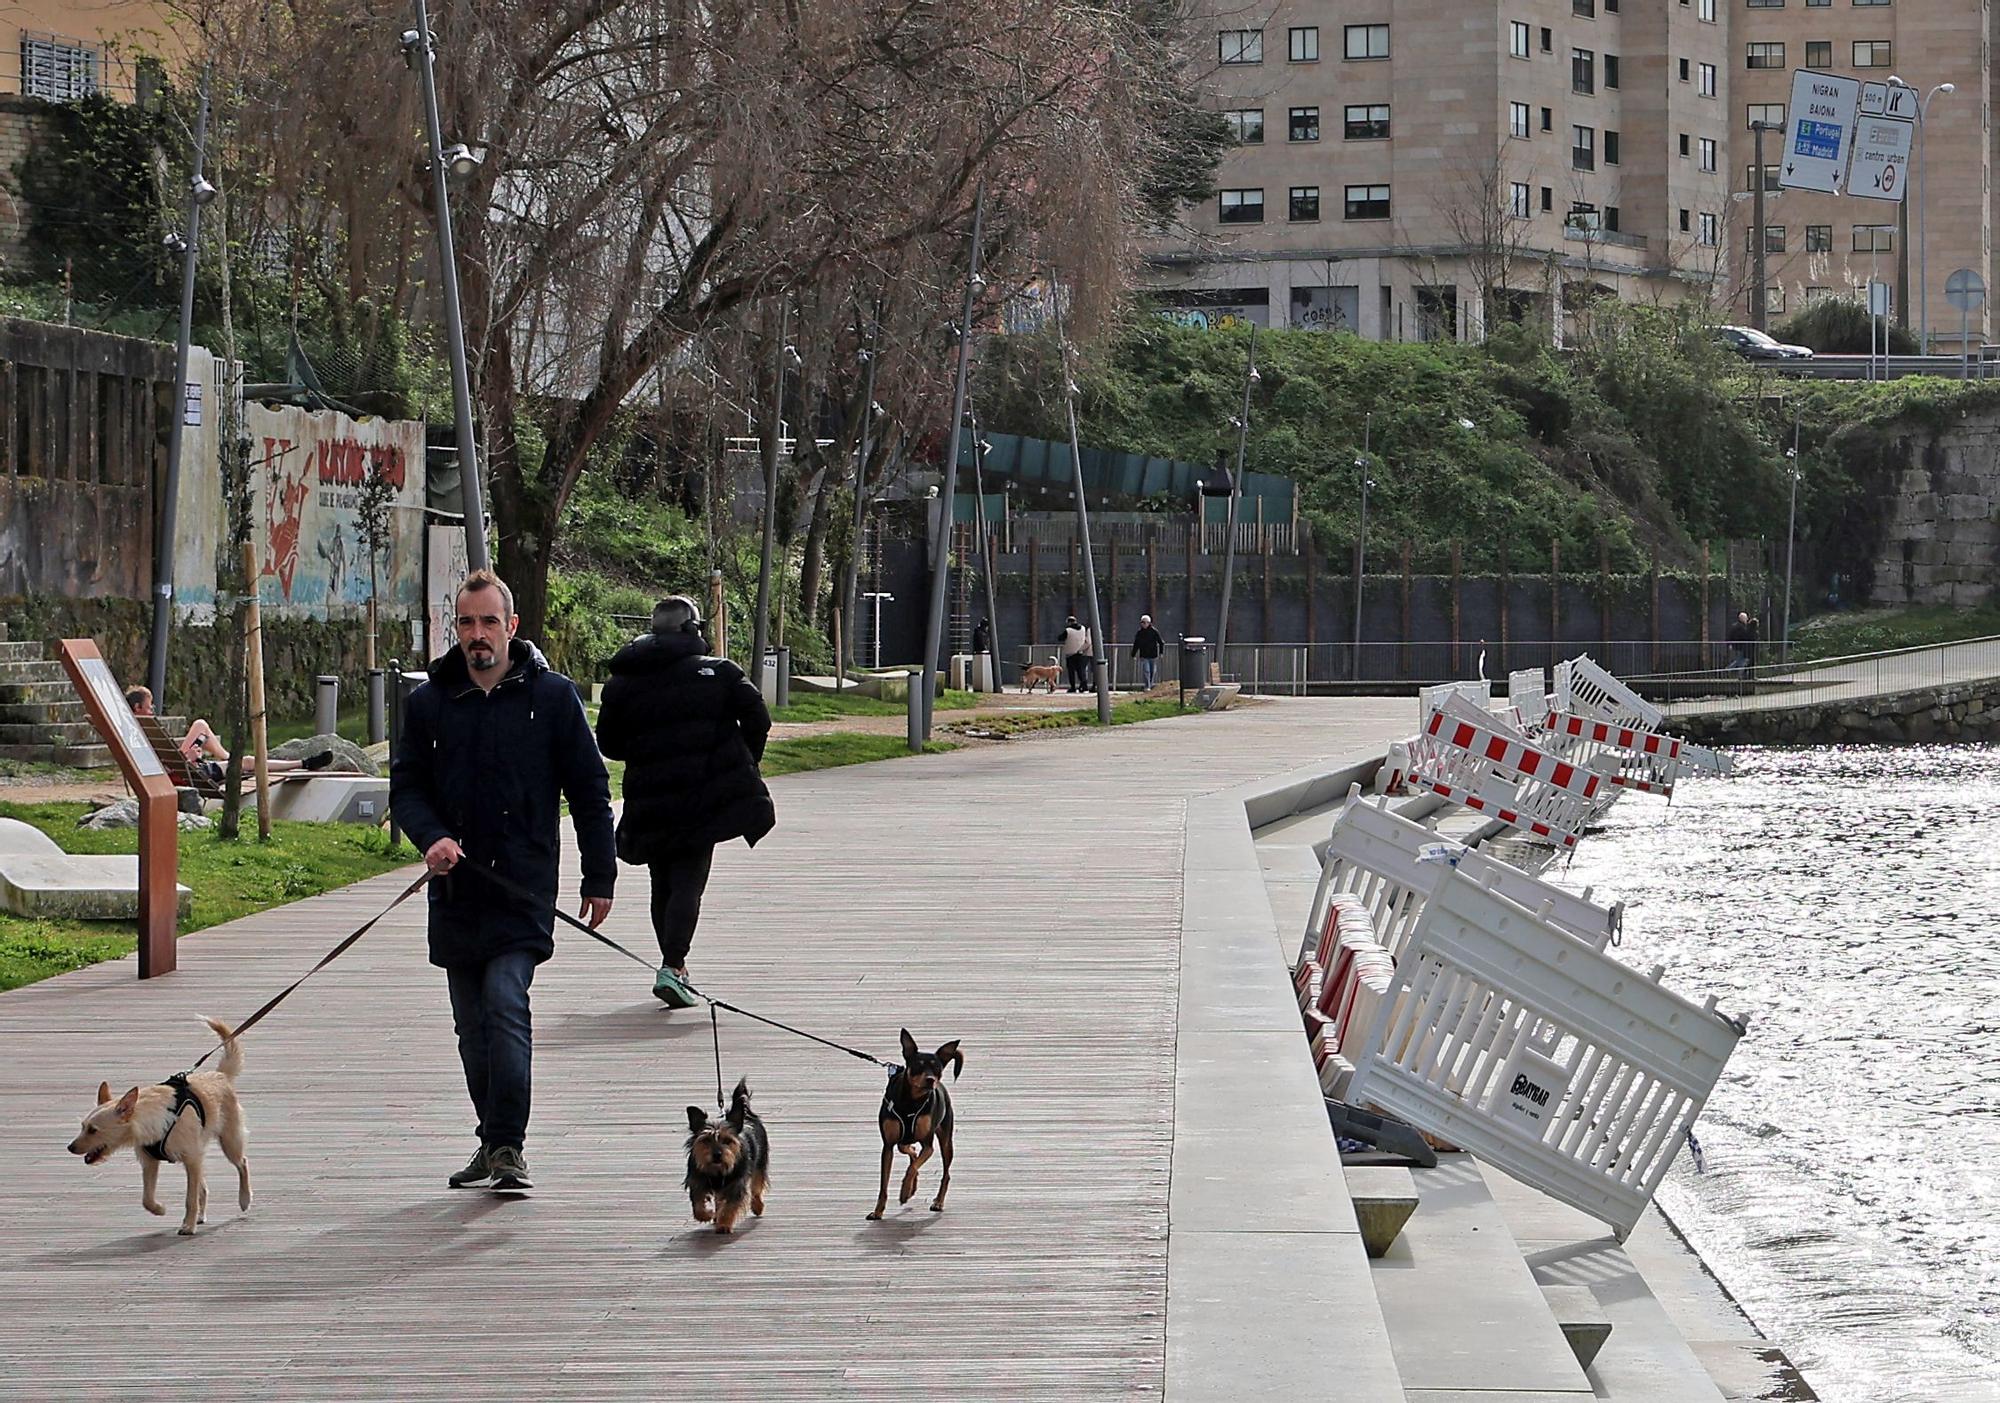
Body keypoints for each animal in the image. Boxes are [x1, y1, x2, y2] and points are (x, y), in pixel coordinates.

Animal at [65, 1015, 250, 1239]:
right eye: (82, 1126)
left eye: (93, 1130)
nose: (70, 1147)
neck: (152, 1119)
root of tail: (219, 1075)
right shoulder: (150, 1162)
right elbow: (147, 1198)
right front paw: (160, 1209)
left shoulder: (191, 1158)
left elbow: (189, 1199)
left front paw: (187, 1226)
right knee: (203, 1187)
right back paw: (200, 1215)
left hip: (229, 1141)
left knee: (241, 1163)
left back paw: (244, 1199)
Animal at [692, 1079, 776, 1239]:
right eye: (706, 1140)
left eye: (727, 1141)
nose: (717, 1154)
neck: (717, 1170)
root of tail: (747, 1116)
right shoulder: (697, 1180)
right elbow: (698, 1203)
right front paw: (707, 1215)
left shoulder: (736, 1184)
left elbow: (730, 1206)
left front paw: (724, 1224)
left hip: (759, 1162)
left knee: (756, 1186)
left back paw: (757, 1206)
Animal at [868, 1031, 960, 1223]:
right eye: (918, 1065)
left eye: (937, 1068)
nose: (931, 1079)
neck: (911, 1101)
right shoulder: (888, 1146)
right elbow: (884, 1184)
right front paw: (878, 1212)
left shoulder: (928, 1145)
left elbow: (912, 1168)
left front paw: (904, 1192)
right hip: (903, 1140)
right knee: (909, 1150)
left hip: (946, 1140)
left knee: (945, 1173)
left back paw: (938, 1202)